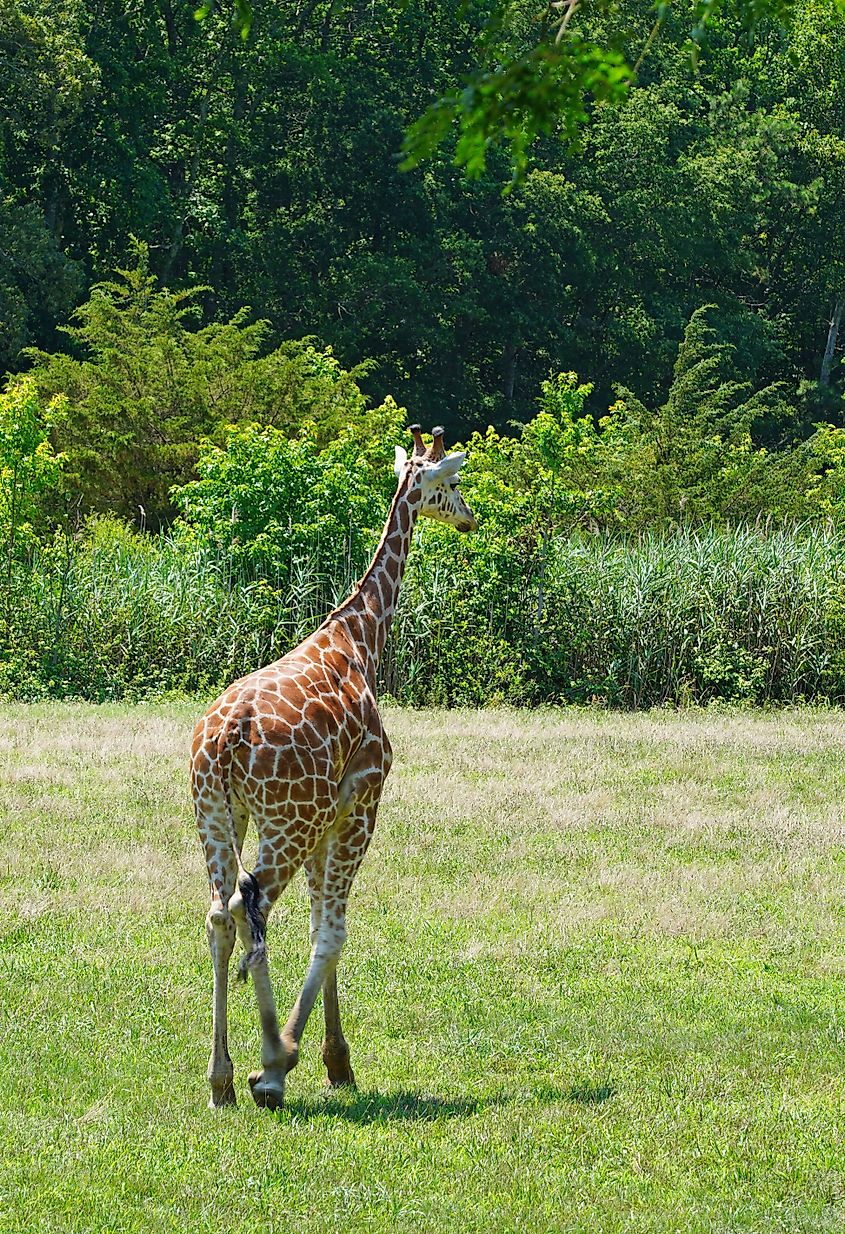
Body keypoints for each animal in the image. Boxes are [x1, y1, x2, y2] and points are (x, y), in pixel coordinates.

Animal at [191, 423, 477, 1111]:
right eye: (451, 481)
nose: (471, 518)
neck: (360, 638)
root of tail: (227, 741)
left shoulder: (330, 814)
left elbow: (320, 920)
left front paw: (335, 1060)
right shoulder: (362, 796)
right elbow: (333, 929)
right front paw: (293, 1058)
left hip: (217, 814)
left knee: (219, 912)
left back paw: (220, 1080)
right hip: (286, 821)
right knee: (250, 903)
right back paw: (266, 1063)